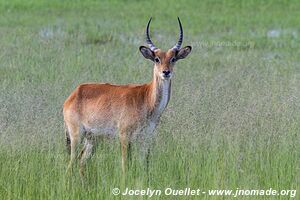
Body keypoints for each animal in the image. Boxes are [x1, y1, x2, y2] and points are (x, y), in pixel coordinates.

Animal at [63, 17, 192, 175]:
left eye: (173, 58)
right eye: (157, 59)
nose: (166, 72)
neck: (146, 101)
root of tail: (74, 94)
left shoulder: (146, 138)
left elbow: (145, 165)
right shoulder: (124, 136)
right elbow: (125, 166)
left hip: (92, 139)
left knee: (81, 162)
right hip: (76, 136)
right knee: (70, 165)